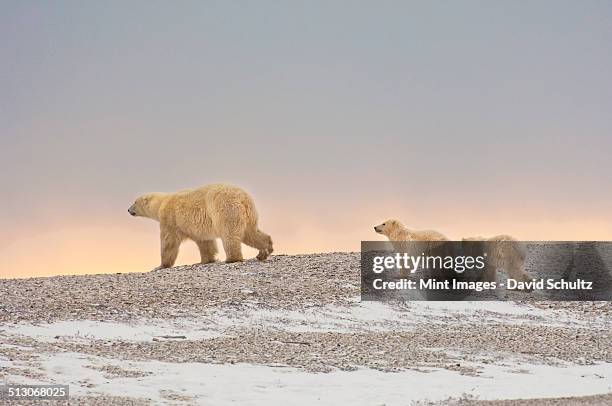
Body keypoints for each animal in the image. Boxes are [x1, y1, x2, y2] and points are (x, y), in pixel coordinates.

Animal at [128, 183, 272, 266]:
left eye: (134, 202)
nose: (129, 210)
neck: (161, 203)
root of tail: (243, 198)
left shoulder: (170, 218)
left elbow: (169, 242)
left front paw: (162, 265)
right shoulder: (197, 228)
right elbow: (205, 242)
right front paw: (206, 260)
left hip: (224, 208)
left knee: (230, 234)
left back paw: (232, 258)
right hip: (249, 213)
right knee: (250, 233)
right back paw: (265, 250)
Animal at [372, 220, 532, 284]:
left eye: (383, 223)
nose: (374, 226)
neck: (400, 235)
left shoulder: (409, 245)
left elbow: (408, 260)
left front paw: (400, 275)